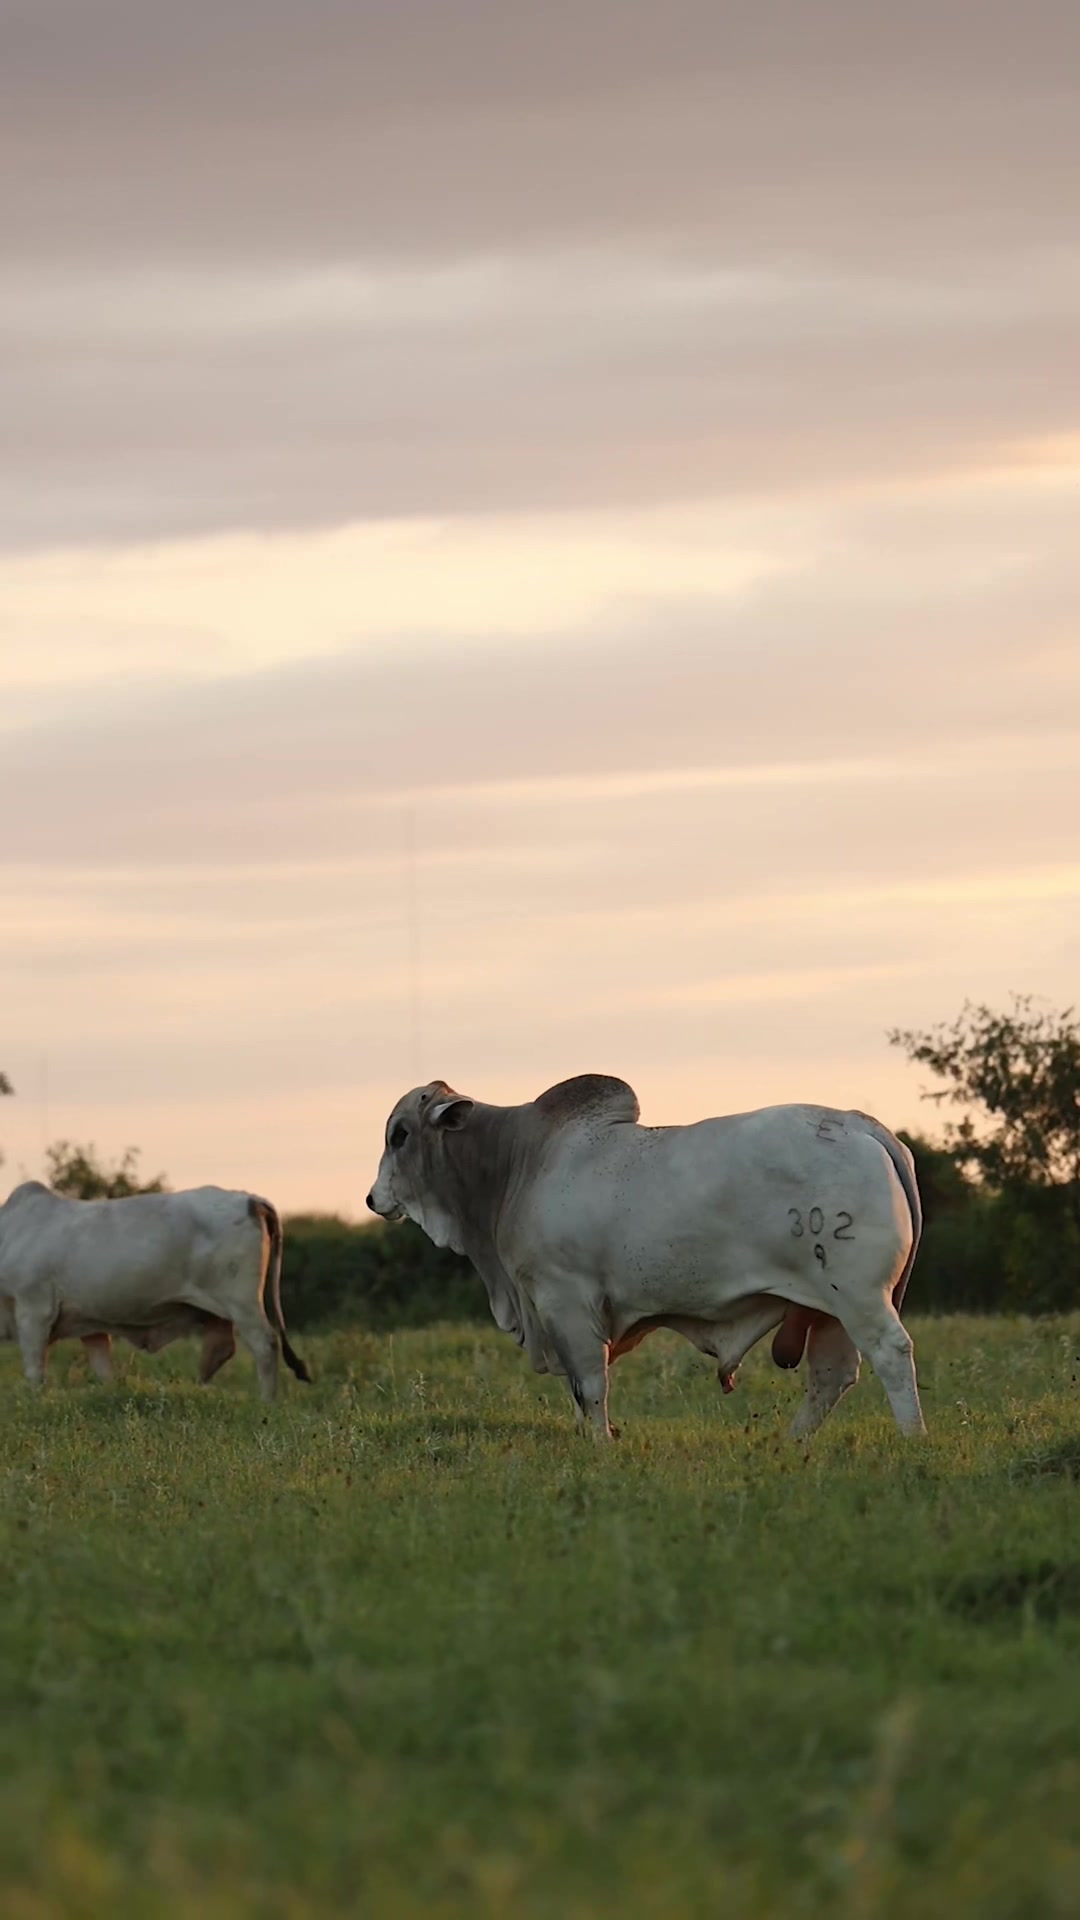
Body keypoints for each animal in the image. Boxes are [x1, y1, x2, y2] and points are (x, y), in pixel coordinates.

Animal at [0, 1182, 310, 1399]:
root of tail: (250, 1199)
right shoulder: (90, 1325)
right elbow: (104, 1370)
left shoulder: (33, 1309)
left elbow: (34, 1372)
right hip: (223, 1312)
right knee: (221, 1349)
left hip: (242, 1303)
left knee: (265, 1343)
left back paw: (266, 1403)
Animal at [366, 1075, 924, 1441]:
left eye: (400, 1134)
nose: (373, 1199)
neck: (517, 1164)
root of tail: (859, 1124)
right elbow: (578, 1390)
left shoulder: (565, 1302)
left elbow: (589, 1384)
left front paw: (599, 1447)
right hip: (826, 1308)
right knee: (833, 1376)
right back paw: (792, 1446)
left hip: (858, 1295)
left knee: (890, 1353)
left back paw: (913, 1441)